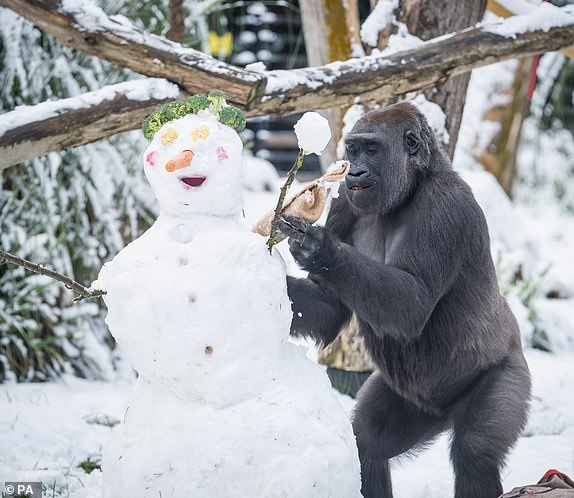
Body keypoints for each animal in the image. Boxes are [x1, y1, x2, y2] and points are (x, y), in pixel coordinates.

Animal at [280, 101, 532, 498]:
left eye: (372, 150)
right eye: (353, 150)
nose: (356, 170)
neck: (413, 186)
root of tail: (444, 413)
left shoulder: (445, 207)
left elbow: (413, 303)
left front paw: (320, 249)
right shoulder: (344, 202)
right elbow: (328, 305)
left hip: (508, 371)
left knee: (475, 450)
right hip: (415, 405)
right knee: (367, 444)